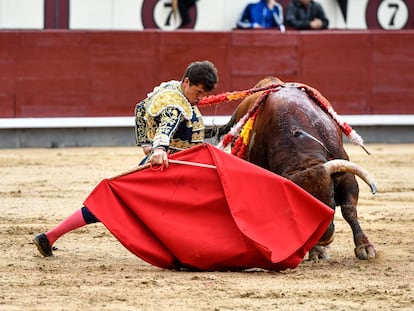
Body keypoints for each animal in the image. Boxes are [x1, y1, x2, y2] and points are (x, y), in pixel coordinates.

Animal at [215, 77, 376, 260]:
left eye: (331, 194)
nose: (324, 238)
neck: (301, 155)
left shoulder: (344, 174)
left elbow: (349, 209)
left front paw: (365, 247)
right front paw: (315, 250)